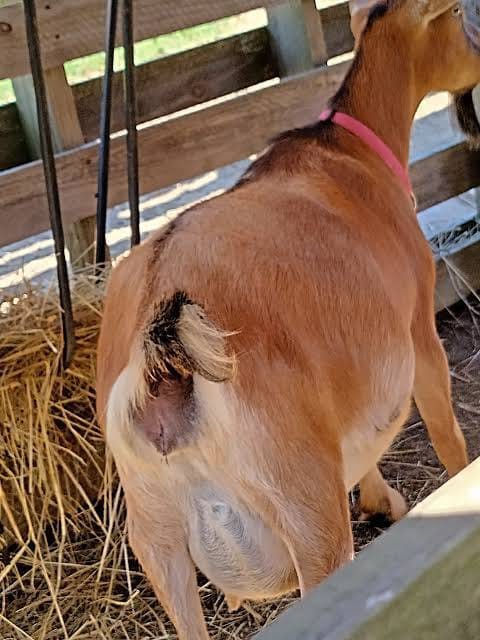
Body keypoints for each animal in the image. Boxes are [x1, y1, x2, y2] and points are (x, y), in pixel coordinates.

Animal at [96, 1, 480, 637]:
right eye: (459, 16)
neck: (347, 150)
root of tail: (165, 367)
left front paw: (380, 500)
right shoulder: (417, 325)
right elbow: (445, 429)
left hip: (156, 536)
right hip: (305, 509)